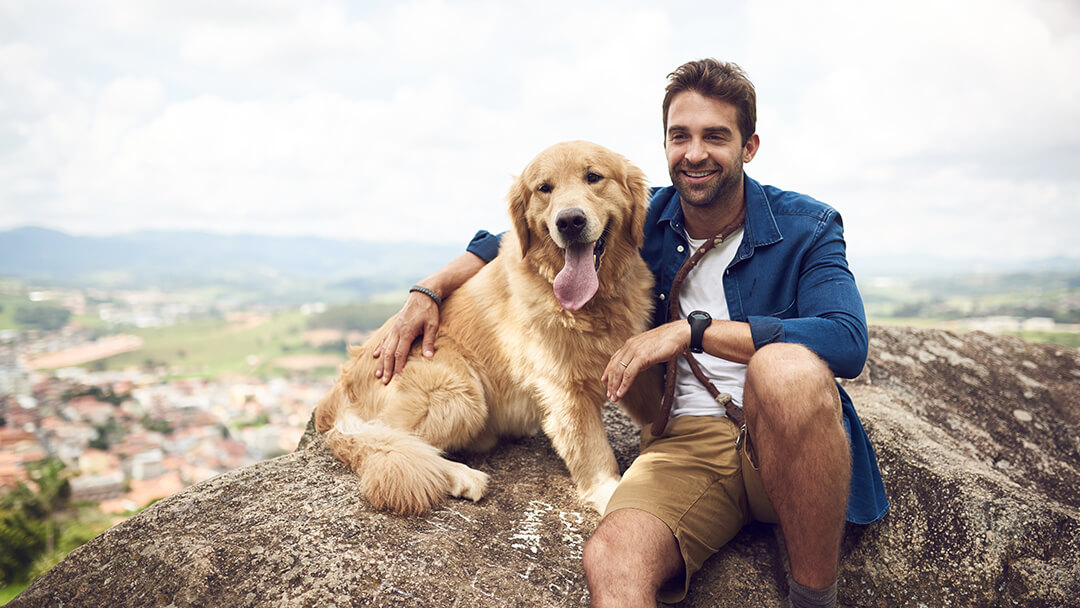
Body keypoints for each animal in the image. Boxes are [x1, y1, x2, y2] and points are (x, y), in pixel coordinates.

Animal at [315, 140, 656, 516]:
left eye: (593, 176)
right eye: (544, 188)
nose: (569, 221)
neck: (594, 304)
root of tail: (336, 392)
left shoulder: (629, 360)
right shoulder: (565, 388)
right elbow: (593, 452)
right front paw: (611, 493)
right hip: (458, 392)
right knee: (385, 440)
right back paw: (460, 475)